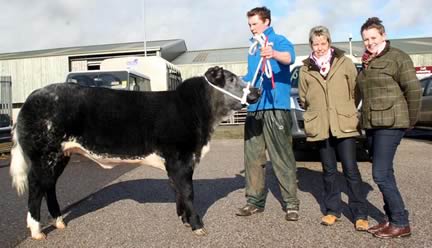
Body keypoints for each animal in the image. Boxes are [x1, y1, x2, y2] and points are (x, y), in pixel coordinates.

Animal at [10, 66, 258, 238]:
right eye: (232, 79)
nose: (256, 90)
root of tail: (33, 96)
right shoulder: (181, 159)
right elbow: (188, 192)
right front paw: (197, 226)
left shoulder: (175, 164)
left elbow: (178, 192)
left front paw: (185, 220)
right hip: (44, 155)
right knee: (36, 188)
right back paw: (37, 231)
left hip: (61, 155)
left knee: (49, 187)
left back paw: (60, 221)